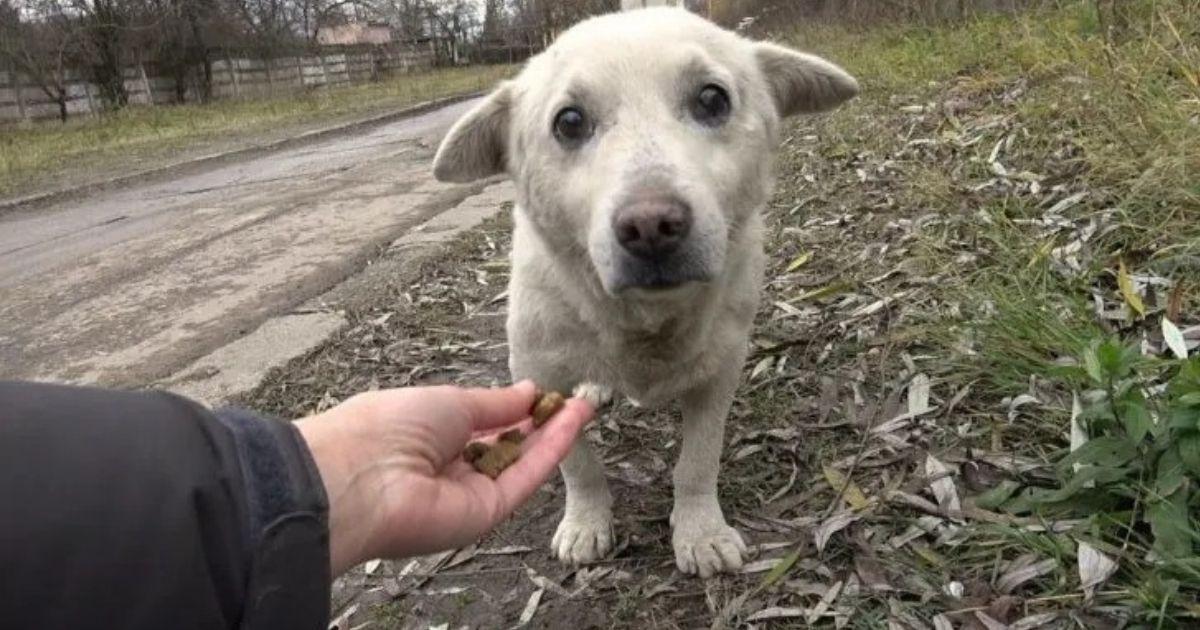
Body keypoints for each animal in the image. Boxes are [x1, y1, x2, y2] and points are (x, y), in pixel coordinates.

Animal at [432, 6, 854, 573]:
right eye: (569, 122)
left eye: (712, 99)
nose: (651, 226)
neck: (643, 321)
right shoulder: (540, 373)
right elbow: (578, 465)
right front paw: (586, 522)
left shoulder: (720, 371)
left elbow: (698, 460)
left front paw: (700, 531)